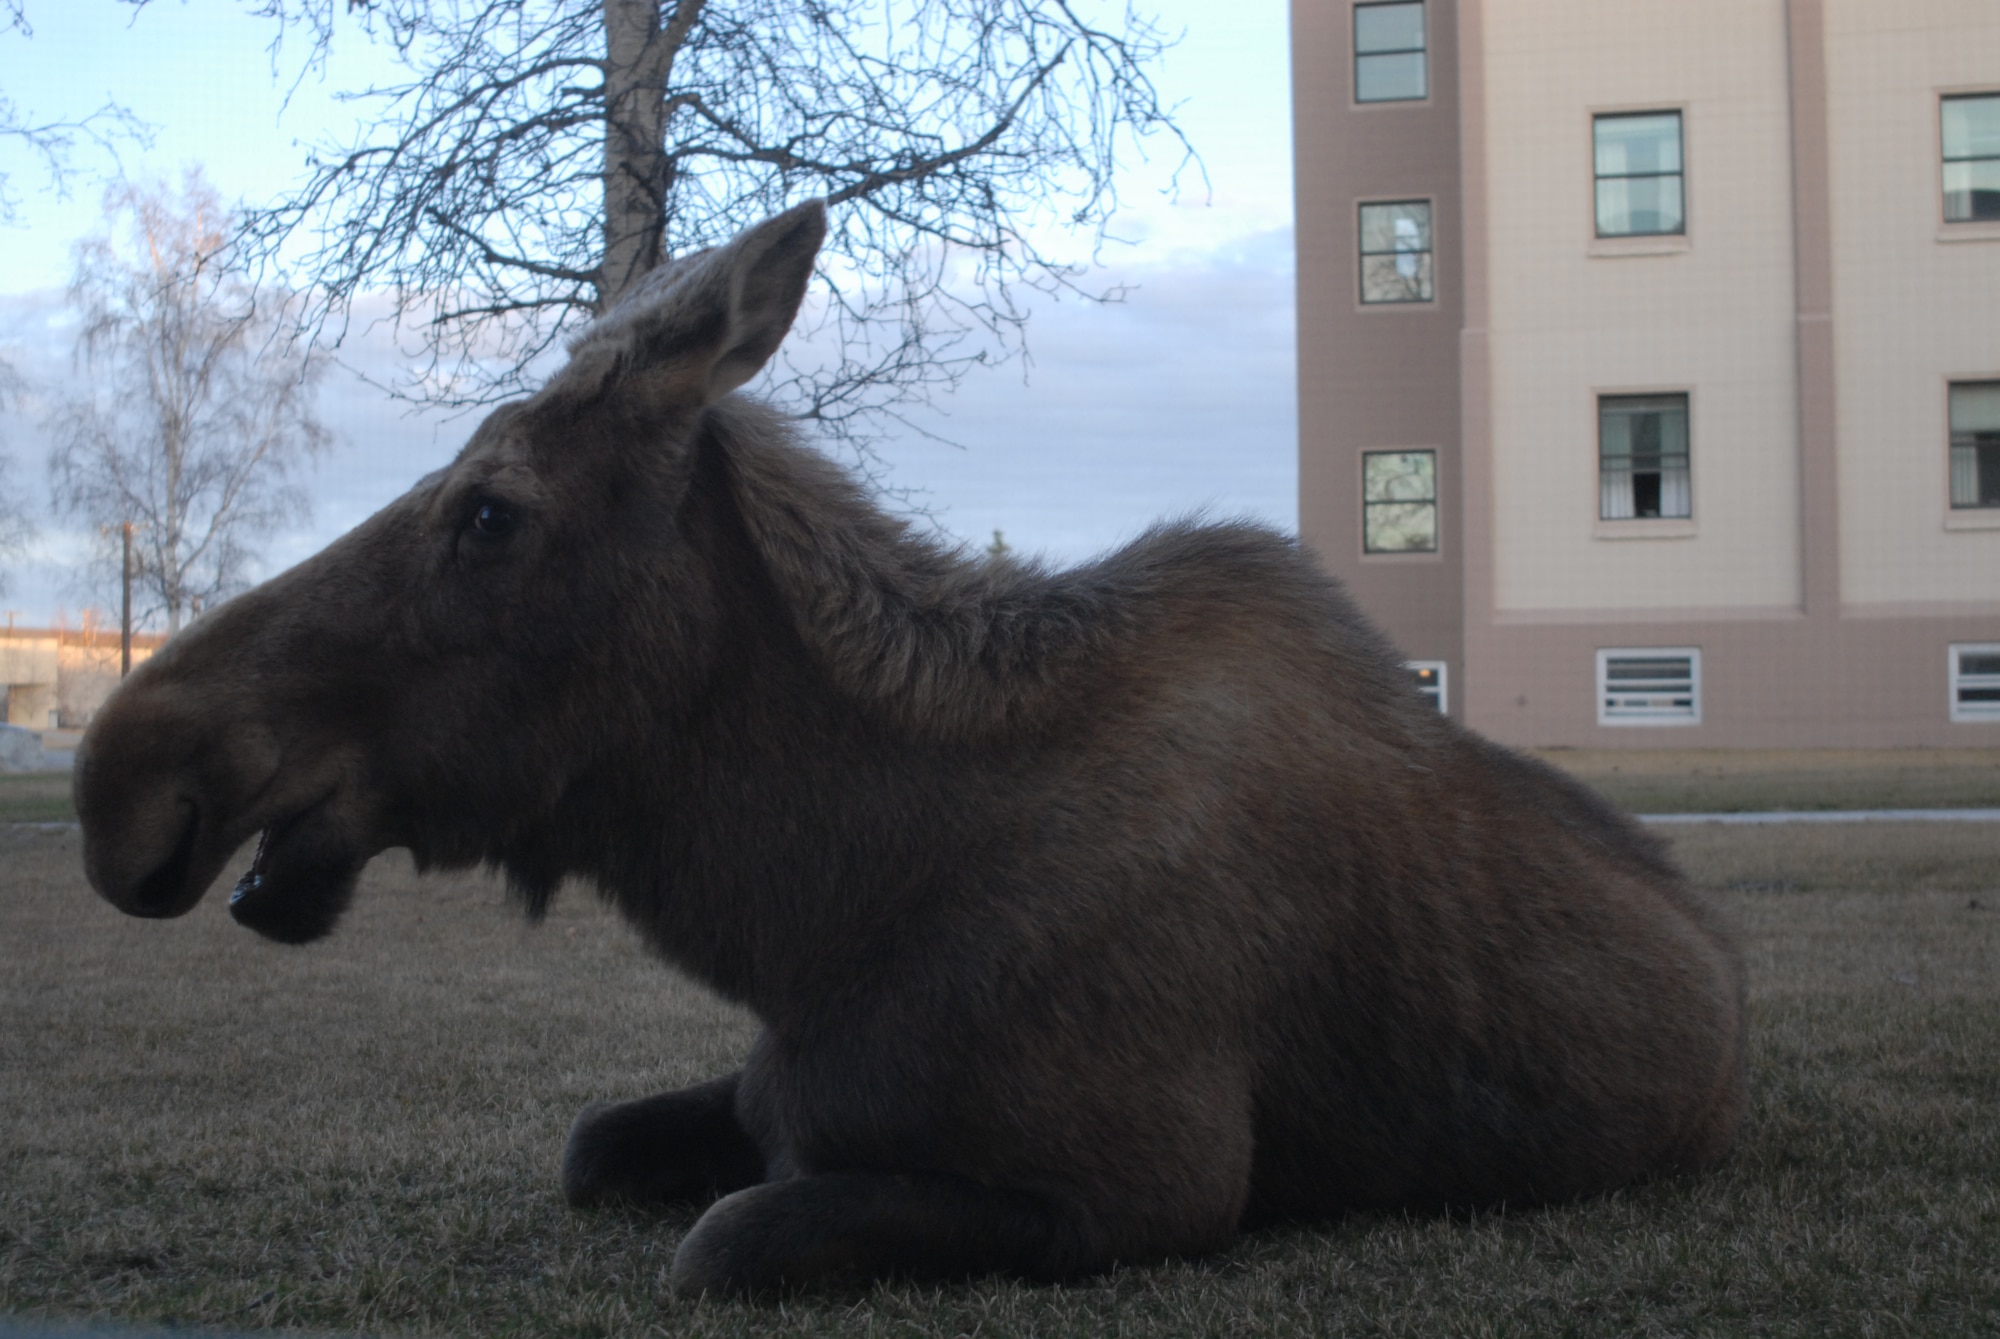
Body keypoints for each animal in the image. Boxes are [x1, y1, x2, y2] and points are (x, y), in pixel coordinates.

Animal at [70, 199, 1744, 1303]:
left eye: (489, 511)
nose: (123, 778)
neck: (814, 912)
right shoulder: (773, 1092)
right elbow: (591, 1141)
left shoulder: (1157, 1180)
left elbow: (724, 1239)